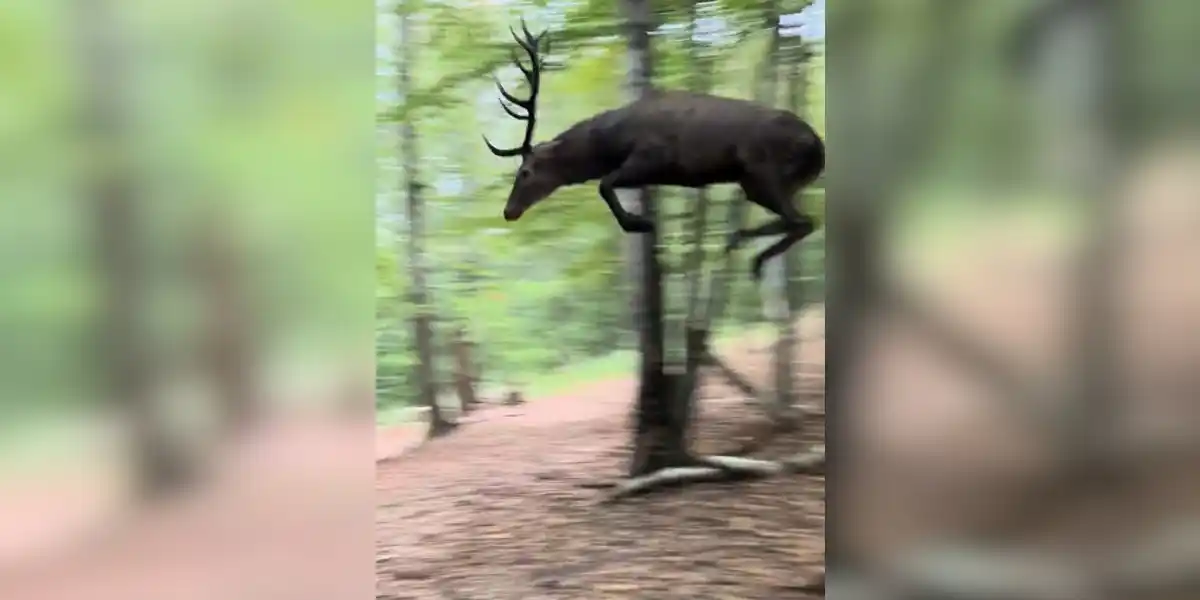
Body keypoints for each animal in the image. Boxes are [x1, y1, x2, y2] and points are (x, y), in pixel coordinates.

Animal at [482, 20, 820, 278]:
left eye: (526, 172)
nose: (508, 211)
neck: (609, 144)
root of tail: (818, 146)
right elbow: (607, 185)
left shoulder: (653, 157)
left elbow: (604, 185)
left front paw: (640, 223)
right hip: (763, 182)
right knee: (800, 220)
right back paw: (739, 242)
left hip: (763, 171)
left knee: (803, 220)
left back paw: (752, 255)